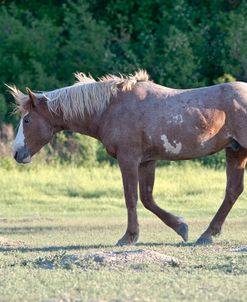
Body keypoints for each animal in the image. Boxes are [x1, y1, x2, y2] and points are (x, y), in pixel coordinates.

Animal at [8, 71, 247, 245]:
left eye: (27, 120)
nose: (17, 152)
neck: (110, 108)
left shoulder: (128, 159)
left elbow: (131, 198)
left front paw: (129, 236)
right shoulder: (147, 162)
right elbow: (147, 199)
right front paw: (180, 226)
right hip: (235, 151)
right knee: (232, 191)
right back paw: (208, 234)